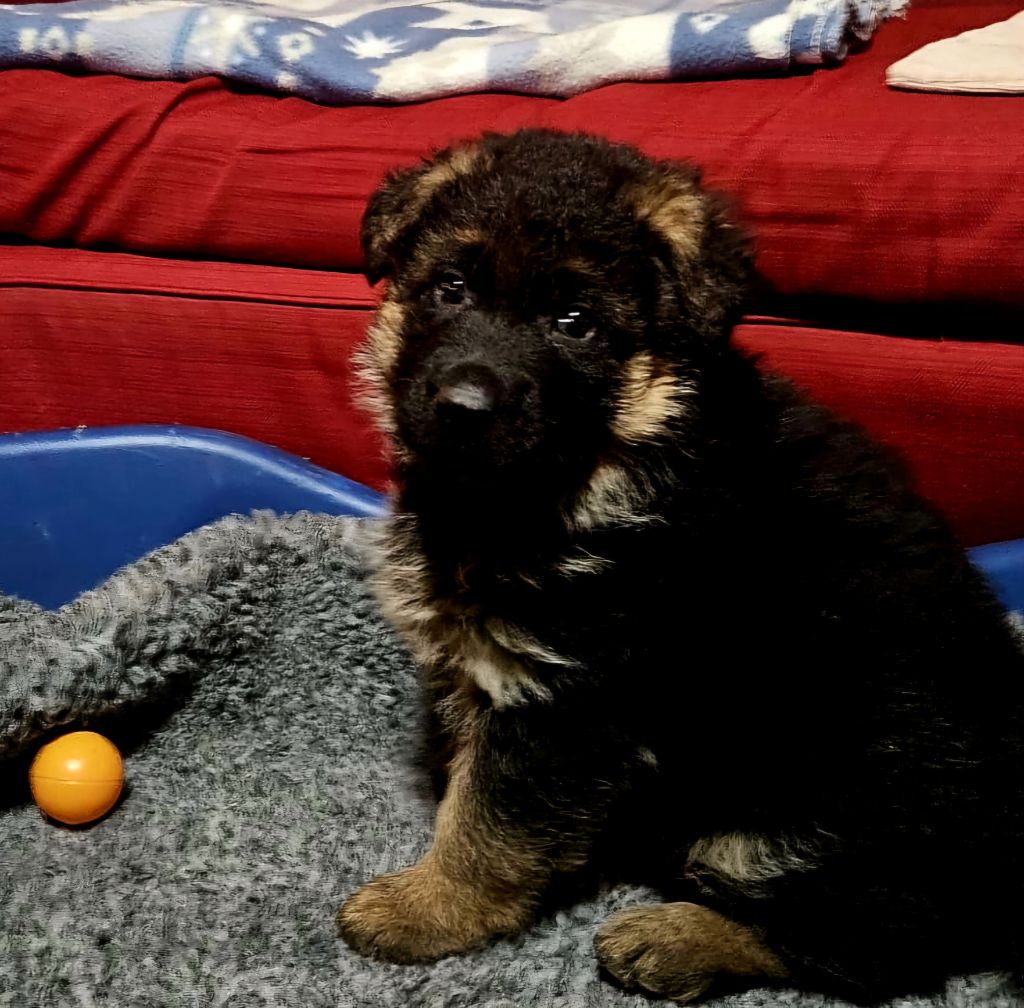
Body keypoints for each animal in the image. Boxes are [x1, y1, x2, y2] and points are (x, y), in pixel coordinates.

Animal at [337, 128, 1024, 1004]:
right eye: (449, 288)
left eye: (575, 322)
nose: (462, 408)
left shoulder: (568, 696)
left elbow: (489, 823)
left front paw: (426, 908)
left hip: (807, 819)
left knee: (874, 942)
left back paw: (674, 939)